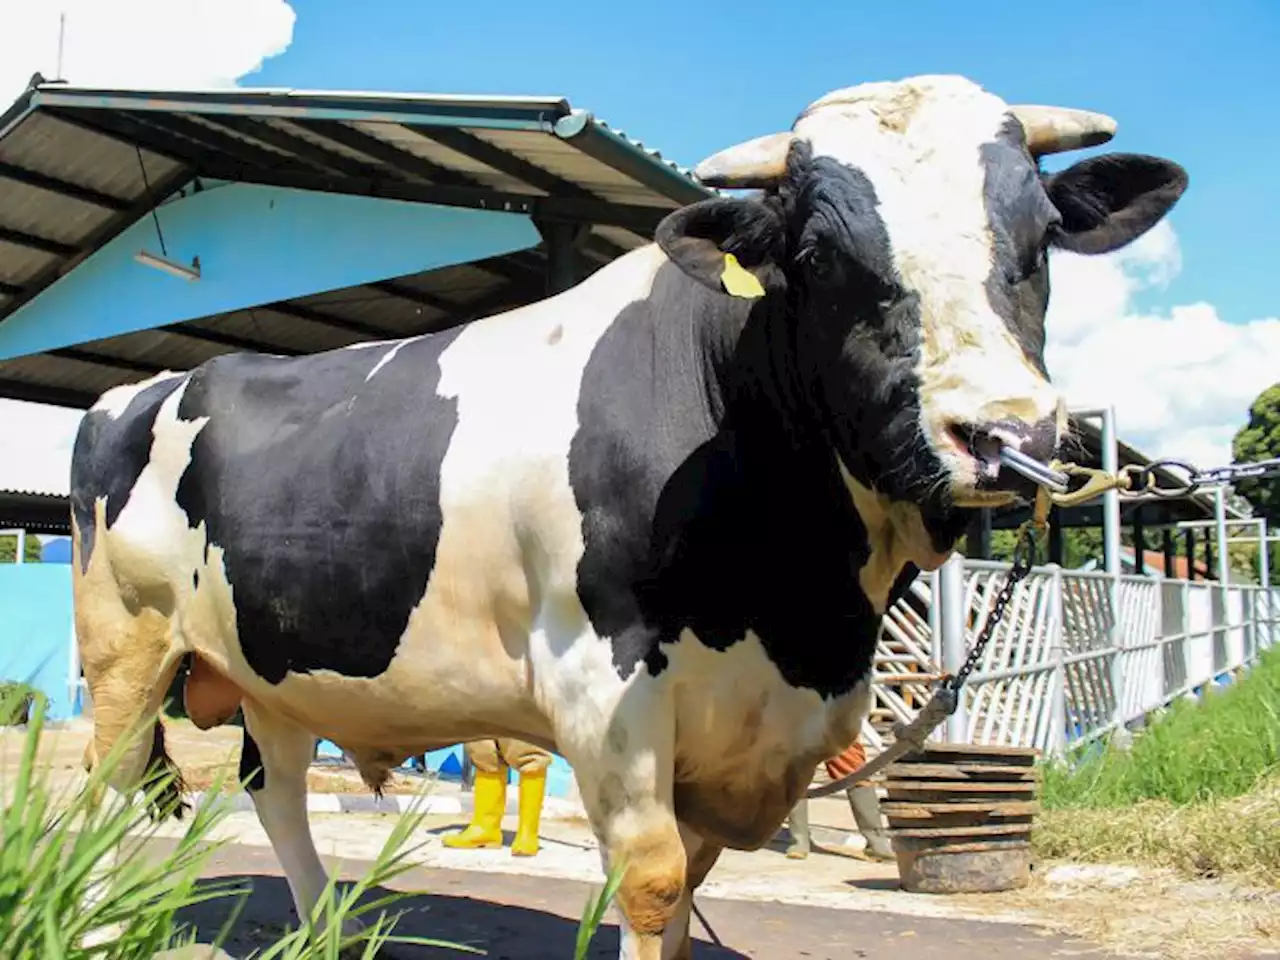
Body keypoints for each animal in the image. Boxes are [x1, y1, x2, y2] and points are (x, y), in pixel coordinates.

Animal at [72, 77, 1187, 960]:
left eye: (1040, 238)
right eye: (820, 254)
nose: (1004, 433)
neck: (802, 613)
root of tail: (150, 383)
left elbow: (693, 884)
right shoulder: (601, 683)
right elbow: (651, 881)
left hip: (275, 669)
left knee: (278, 789)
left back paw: (321, 933)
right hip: (126, 641)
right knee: (107, 783)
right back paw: (99, 921)